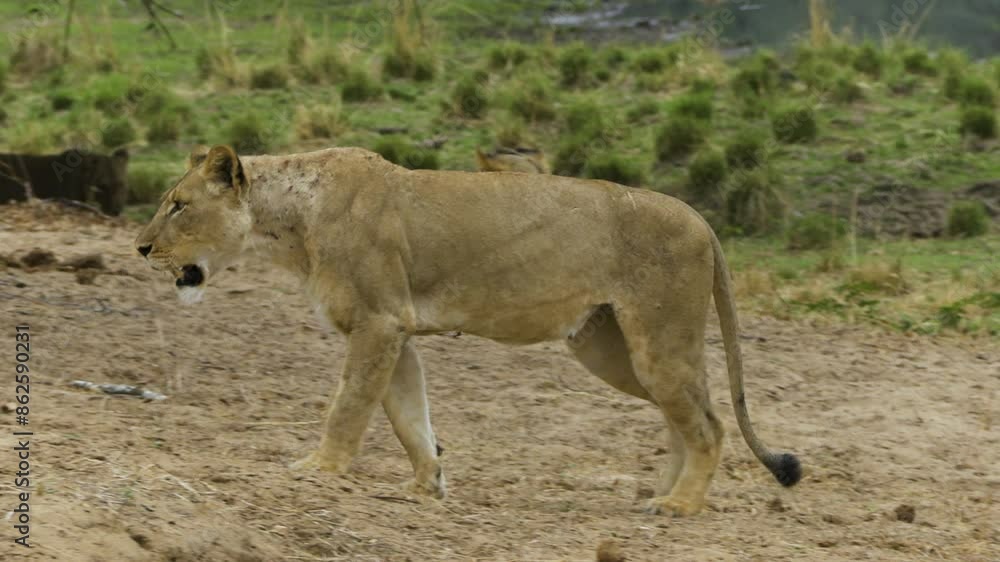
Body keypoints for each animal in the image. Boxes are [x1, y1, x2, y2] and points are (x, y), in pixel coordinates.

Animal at [134, 145, 801, 516]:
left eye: (179, 205)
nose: (140, 248)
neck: (290, 224)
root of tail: (700, 218)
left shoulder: (378, 322)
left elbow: (349, 407)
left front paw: (319, 471)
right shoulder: (395, 331)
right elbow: (408, 416)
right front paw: (428, 484)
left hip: (657, 338)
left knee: (710, 422)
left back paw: (682, 505)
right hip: (610, 347)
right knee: (683, 414)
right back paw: (659, 496)